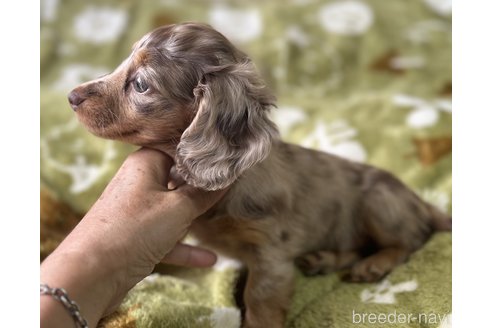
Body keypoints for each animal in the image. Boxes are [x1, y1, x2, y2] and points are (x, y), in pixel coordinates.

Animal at [67, 21, 452, 326]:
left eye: (141, 84)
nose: (71, 96)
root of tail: (421, 203)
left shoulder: (270, 256)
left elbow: (259, 301)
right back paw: (326, 259)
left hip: (380, 201)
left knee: (410, 241)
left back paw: (376, 263)